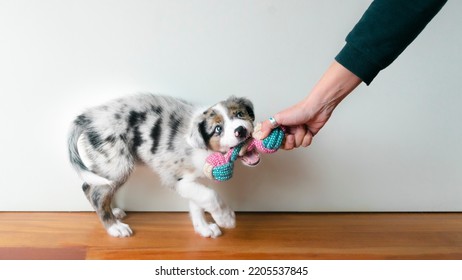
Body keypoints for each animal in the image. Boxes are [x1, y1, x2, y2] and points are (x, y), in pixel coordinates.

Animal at [67, 93, 256, 237]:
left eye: (240, 114)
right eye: (218, 129)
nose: (241, 130)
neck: (203, 146)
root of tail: (88, 117)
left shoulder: (192, 180)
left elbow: (197, 203)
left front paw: (203, 228)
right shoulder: (175, 178)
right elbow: (210, 195)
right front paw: (226, 218)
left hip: (105, 163)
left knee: (89, 186)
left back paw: (114, 213)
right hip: (117, 164)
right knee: (97, 194)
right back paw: (114, 227)